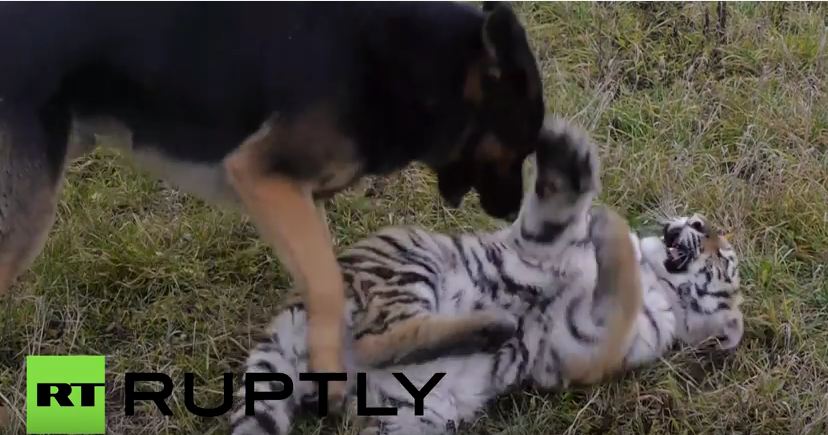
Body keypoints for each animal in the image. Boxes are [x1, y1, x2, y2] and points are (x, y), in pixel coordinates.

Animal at [0, 1, 544, 408]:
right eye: (521, 147)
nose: (511, 214)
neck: (415, 67)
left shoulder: (297, 200)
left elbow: (329, 286)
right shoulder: (262, 174)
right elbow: (327, 284)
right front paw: (330, 380)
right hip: (24, 223)